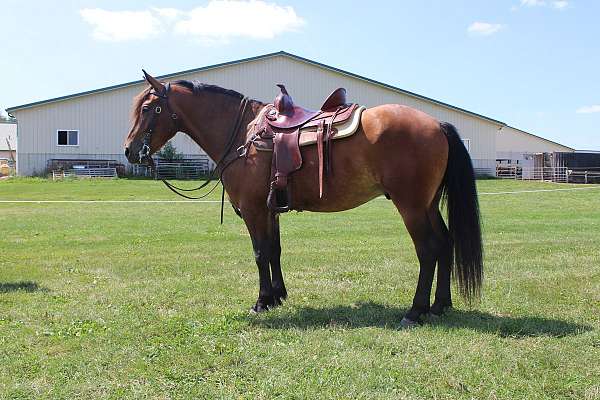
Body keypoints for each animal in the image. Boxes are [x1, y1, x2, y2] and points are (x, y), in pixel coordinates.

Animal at [123, 71, 482, 328]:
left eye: (147, 108)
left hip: (411, 206)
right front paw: (278, 296)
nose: (129, 151)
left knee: (429, 249)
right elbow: (274, 250)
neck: (243, 135)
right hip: (428, 204)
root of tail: (437, 123)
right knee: (445, 243)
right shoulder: (270, 209)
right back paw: (439, 306)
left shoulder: (253, 210)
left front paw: (261, 301)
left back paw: (415, 311)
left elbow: (260, 253)